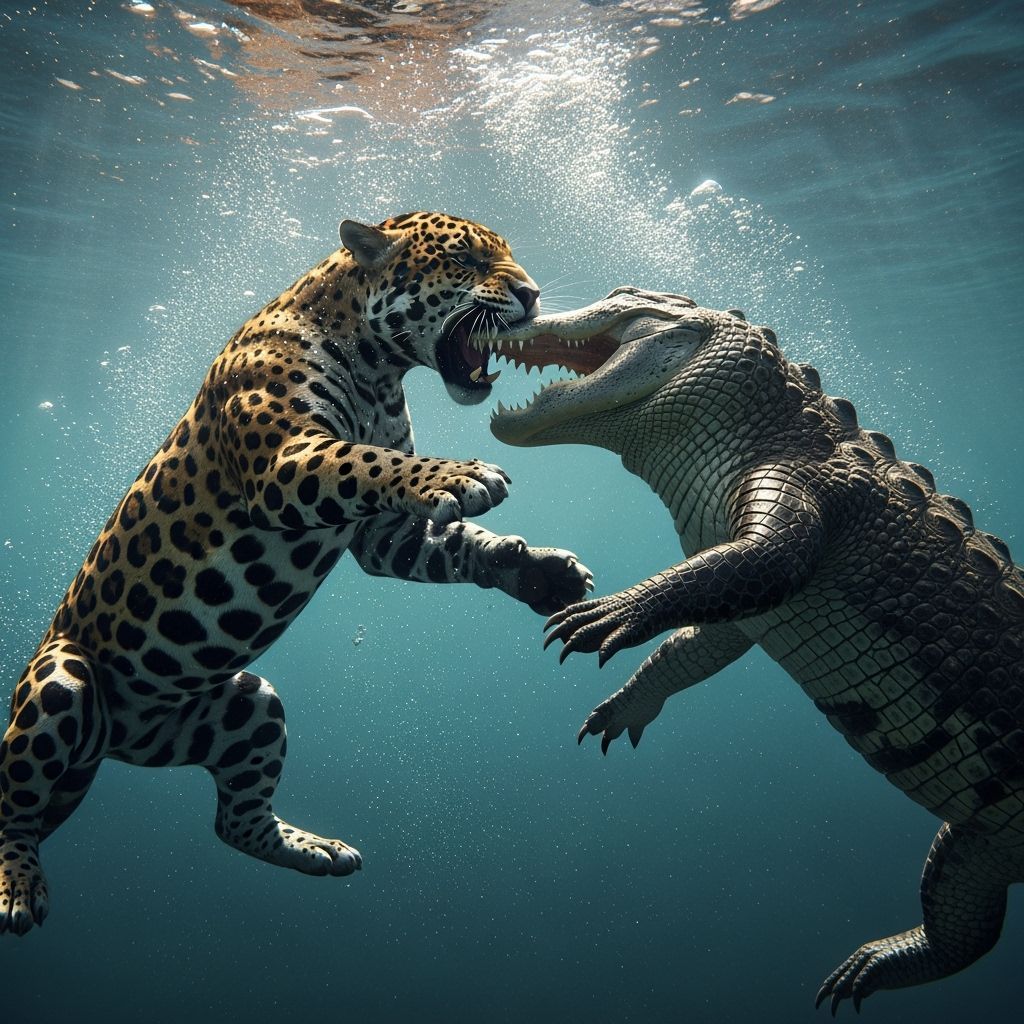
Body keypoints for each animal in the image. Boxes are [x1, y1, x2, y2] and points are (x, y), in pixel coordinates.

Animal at [0, 211, 592, 935]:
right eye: (467, 260)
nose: (532, 296)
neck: (378, 371)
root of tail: (115, 745)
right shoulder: (286, 461)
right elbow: (367, 460)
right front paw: (462, 472)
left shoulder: (383, 534)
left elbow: (455, 540)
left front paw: (542, 574)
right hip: (60, 682)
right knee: (16, 805)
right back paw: (18, 885)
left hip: (249, 708)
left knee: (235, 823)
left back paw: (318, 851)